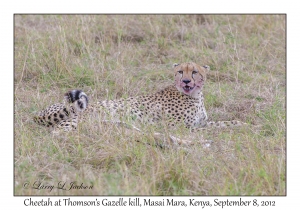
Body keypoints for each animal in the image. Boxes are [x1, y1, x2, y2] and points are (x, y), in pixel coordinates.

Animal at [34, 61, 245, 145]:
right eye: (180, 72)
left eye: (194, 72)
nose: (186, 81)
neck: (195, 95)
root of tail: (38, 115)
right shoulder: (180, 127)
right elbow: (203, 129)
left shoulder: (201, 122)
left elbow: (222, 123)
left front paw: (242, 123)